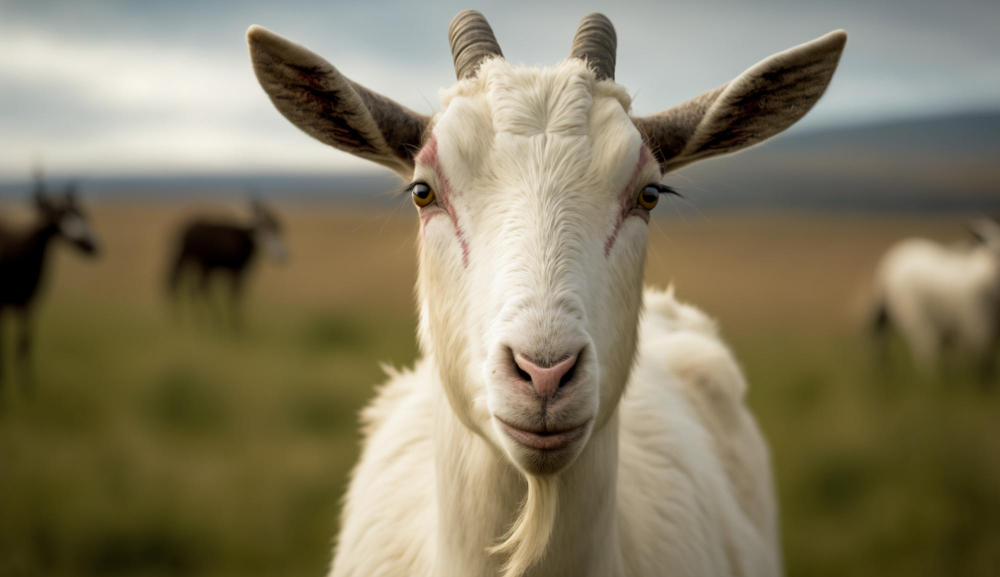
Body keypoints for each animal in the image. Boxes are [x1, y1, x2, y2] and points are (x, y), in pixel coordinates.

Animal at [0, 177, 100, 396]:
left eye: (81, 213)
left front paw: (27, 387)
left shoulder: (29, 304)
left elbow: (25, 344)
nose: (94, 246)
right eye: (58, 215)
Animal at [167, 198, 286, 330]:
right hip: (203, 265)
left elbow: (237, 296)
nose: (283, 255)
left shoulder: (240, 275)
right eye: (263, 226)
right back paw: (208, 321)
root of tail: (186, 231)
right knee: (196, 288)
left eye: (277, 228)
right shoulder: (235, 272)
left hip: (200, 265)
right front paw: (236, 325)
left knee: (191, 289)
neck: (244, 240)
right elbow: (233, 297)